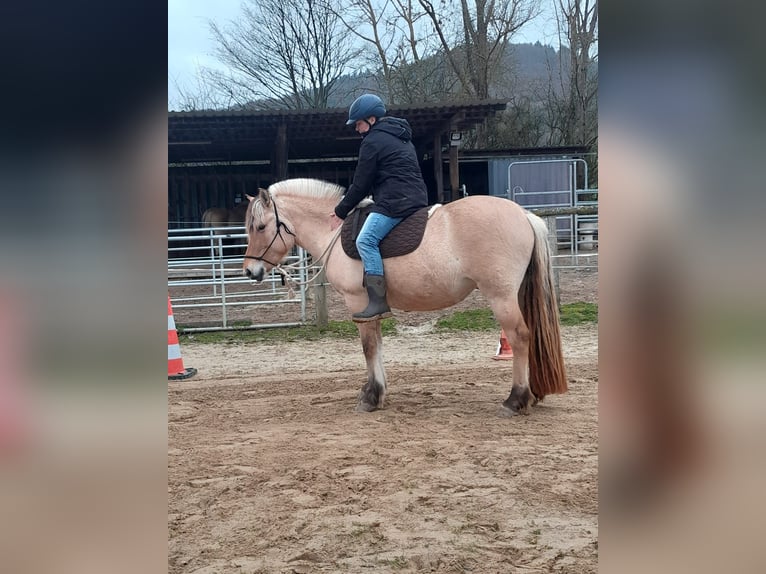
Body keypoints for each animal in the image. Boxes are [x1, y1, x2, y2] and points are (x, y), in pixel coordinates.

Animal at [242, 178, 567, 415]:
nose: (250, 271)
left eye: (260, 227)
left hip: (501, 297)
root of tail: (523, 215)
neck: (333, 230)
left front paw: (371, 397)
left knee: (520, 336)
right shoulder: (372, 309)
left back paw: (516, 399)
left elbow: (369, 347)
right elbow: (378, 346)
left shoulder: (359, 303)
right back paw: (531, 396)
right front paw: (376, 392)